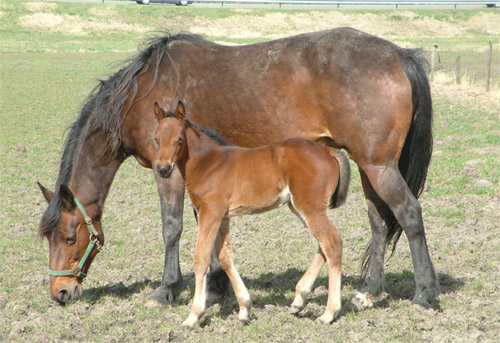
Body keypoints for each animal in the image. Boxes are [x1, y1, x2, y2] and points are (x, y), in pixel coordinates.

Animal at [152, 101, 352, 328]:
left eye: (179, 139)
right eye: (156, 138)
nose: (164, 169)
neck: (208, 163)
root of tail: (329, 151)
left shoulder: (210, 213)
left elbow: (201, 258)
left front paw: (193, 316)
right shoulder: (223, 216)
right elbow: (225, 257)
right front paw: (245, 309)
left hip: (309, 207)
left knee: (332, 242)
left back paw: (329, 313)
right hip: (299, 207)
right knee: (324, 243)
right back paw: (299, 300)